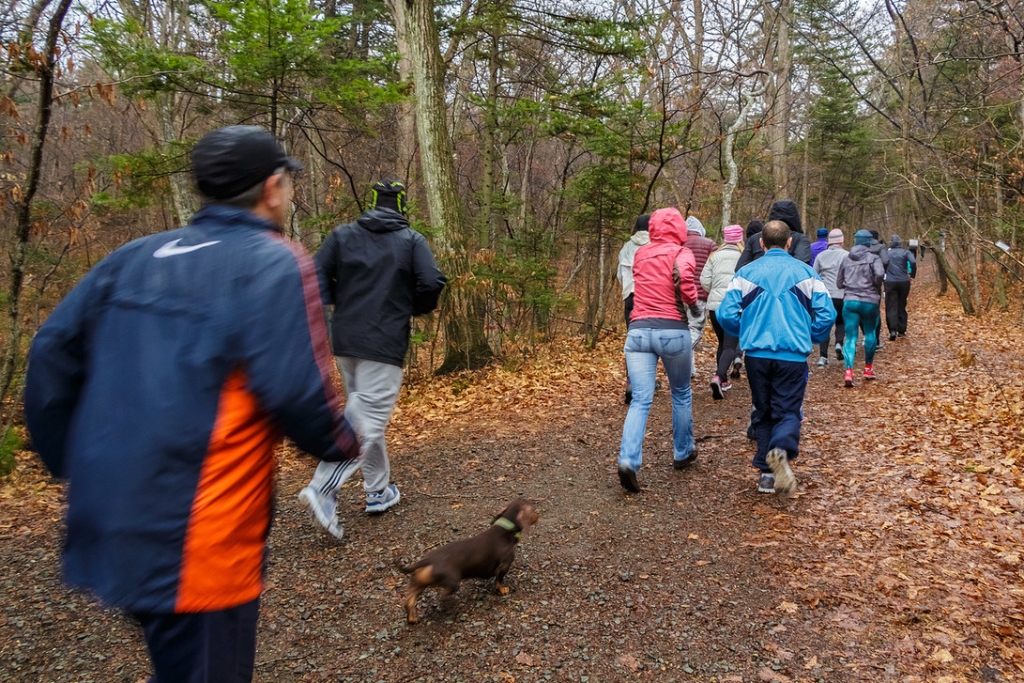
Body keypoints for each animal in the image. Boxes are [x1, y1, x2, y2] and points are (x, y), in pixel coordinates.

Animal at [401, 499, 540, 622]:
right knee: (442, 597)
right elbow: (499, 581)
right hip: (452, 582)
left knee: (409, 601)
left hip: (419, 582)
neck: (505, 530)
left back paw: (412, 619)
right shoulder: (504, 566)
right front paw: (502, 590)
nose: (538, 514)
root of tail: (429, 560)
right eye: (533, 509)